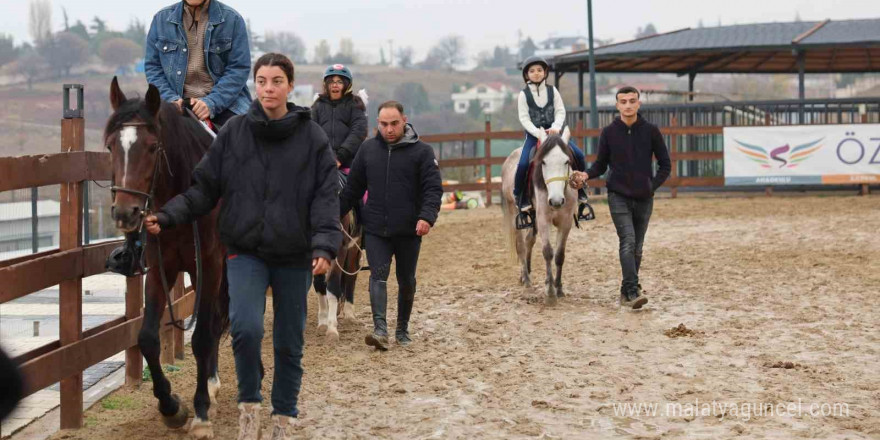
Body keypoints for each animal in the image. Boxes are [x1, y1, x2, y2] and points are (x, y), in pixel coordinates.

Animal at [105, 77, 229, 438]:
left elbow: (202, 336)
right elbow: (147, 338)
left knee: (218, 321)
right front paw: (171, 407)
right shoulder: (162, 267)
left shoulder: (209, 266)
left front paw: (200, 413)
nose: (125, 213)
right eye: (111, 148)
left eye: (151, 147)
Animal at [502, 133, 576, 306]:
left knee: (529, 240)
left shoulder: (566, 222)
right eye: (543, 162)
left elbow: (560, 255)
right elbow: (548, 252)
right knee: (521, 246)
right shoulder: (543, 220)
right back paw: (527, 281)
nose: (556, 201)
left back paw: (525, 275)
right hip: (514, 212)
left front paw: (559, 288)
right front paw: (550, 293)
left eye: (566, 161)